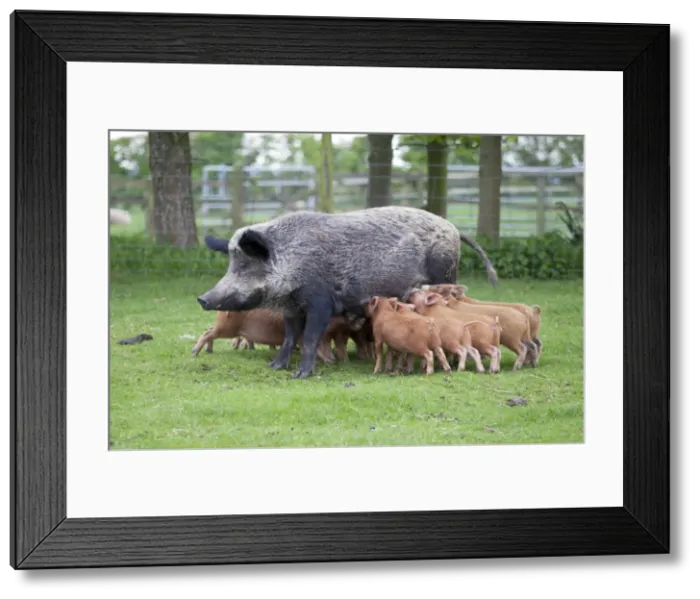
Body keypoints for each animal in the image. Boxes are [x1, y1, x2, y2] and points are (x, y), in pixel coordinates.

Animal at [198, 206, 498, 379]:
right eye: (231, 263)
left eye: (245, 265)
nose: (202, 299)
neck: (293, 261)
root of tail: (454, 229)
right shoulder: (292, 307)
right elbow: (289, 337)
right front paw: (275, 367)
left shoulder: (320, 302)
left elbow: (309, 338)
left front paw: (301, 375)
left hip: (444, 271)